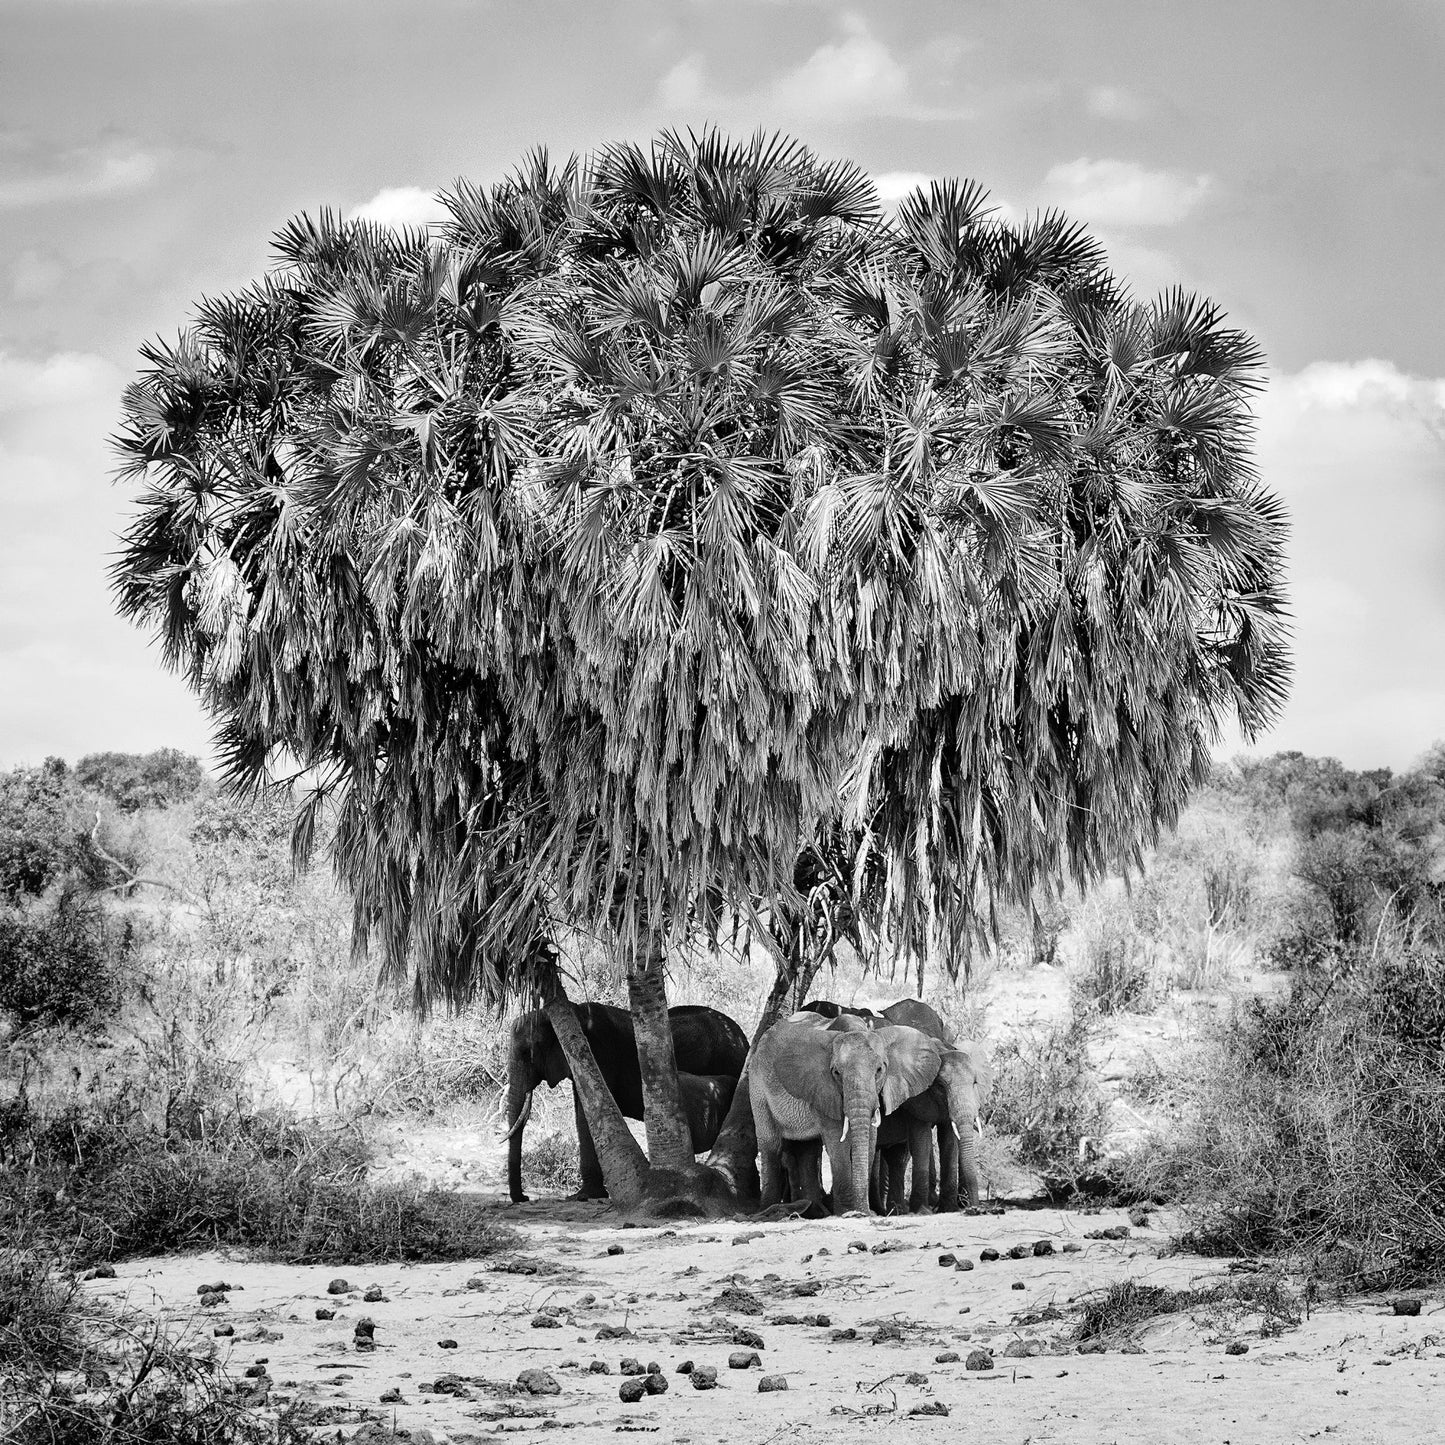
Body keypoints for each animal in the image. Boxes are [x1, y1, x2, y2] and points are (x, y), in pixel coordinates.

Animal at [504, 1002, 748, 1202]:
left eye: (527, 1052)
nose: (525, 1198)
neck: (571, 1014)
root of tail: (743, 1038)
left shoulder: (599, 1053)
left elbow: (586, 1116)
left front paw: (584, 1196)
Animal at [749, 1014, 946, 1215]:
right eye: (836, 1072)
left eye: (879, 1070)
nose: (864, 1212)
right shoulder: (824, 1089)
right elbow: (838, 1142)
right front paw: (847, 1212)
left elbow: (871, 1139)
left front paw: (861, 1211)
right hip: (757, 1088)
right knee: (771, 1144)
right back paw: (767, 1209)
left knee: (808, 1149)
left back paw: (814, 1211)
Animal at [875, 1043, 993, 1212]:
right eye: (941, 1086)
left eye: (974, 1084)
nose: (975, 1208)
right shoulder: (916, 1097)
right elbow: (922, 1141)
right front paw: (922, 1211)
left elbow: (949, 1142)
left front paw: (949, 1209)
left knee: (896, 1157)